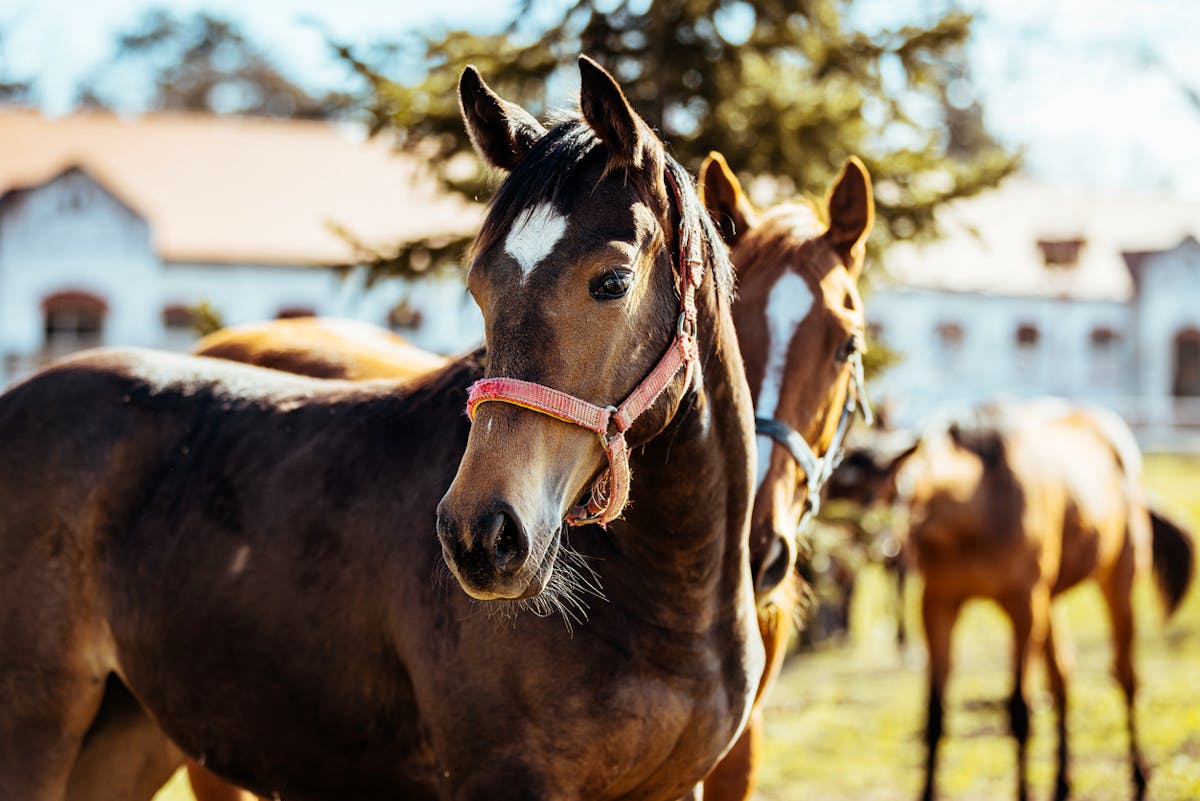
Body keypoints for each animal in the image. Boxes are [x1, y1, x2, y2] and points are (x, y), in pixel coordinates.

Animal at [2, 57, 768, 801]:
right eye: (480, 285)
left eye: (612, 281)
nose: (480, 536)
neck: (668, 599)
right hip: (38, 735)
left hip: (123, 736)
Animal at [840, 398, 1195, 801]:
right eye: (832, 487)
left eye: (866, 494)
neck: (978, 504)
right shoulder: (938, 605)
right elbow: (934, 712)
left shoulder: (1023, 607)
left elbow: (1020, 709)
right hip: (1050, 602)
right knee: (1062, 677)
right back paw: (1062, 782)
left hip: (1117, 578)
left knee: (1126, 677)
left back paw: (1138, 775)